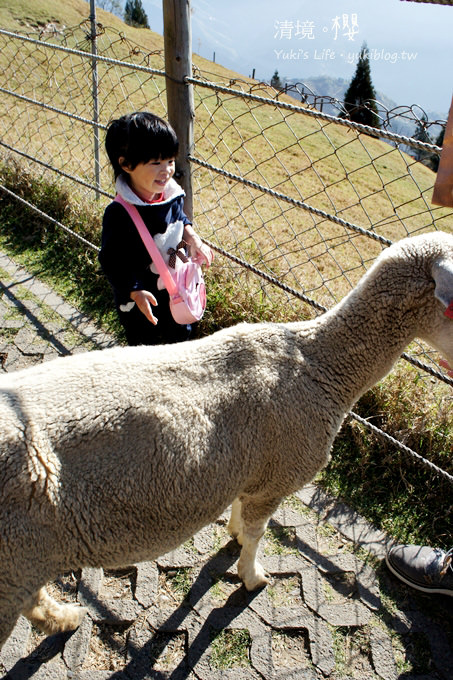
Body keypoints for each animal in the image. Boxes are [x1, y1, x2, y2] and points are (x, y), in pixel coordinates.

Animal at [0, 231, 452, 652]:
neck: (320, 366)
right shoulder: (275, 479)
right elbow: (256, 535)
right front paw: (253, 577)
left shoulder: (251, 469)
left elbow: (240, 516)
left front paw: (232, 535)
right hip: (14, 559)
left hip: (21, 562)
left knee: (34, 601)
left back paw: (65, 618)